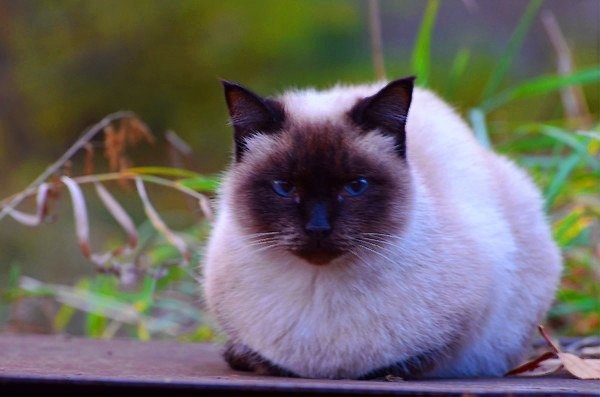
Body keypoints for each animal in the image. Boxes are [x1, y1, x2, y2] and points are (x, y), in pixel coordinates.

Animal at [202, 76, 564, 378]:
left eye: (355, 186)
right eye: (284, 187)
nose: (318, 228)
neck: (318, 288)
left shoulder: (466, 321)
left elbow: (400, 364)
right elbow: (259, 357)